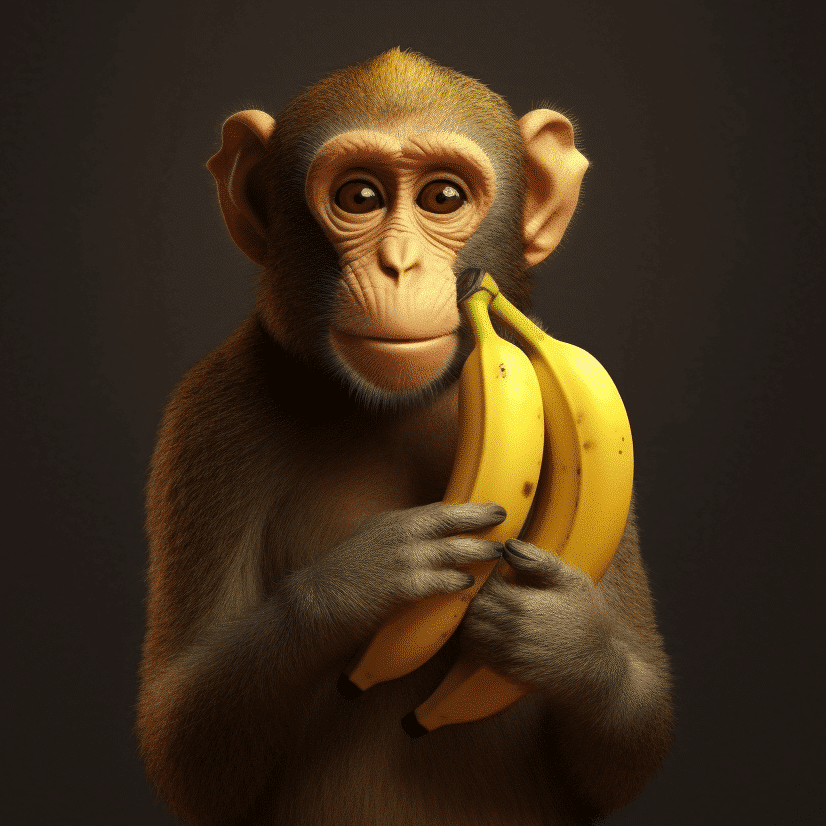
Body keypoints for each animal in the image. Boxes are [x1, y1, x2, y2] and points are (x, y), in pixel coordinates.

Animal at [137, 49, 674, 826]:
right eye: (359, 197)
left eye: (442, 198)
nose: (398, 263)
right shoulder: (208, 418)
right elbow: (182, 735)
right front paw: (361, 580)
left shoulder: (604, 436)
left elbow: (632, 727)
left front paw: (563, 637)